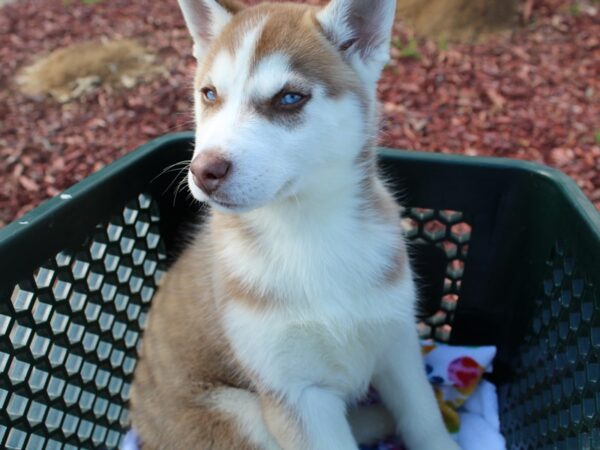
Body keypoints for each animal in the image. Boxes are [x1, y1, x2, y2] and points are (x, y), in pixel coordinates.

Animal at [130, 0, 460, 450]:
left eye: (289, 98)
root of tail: (138, 420)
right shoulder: (296, 394)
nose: (203, 171)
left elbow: (424, 419)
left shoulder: (399, 345)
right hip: (240, 416)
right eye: (209, 94)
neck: (309, 233)